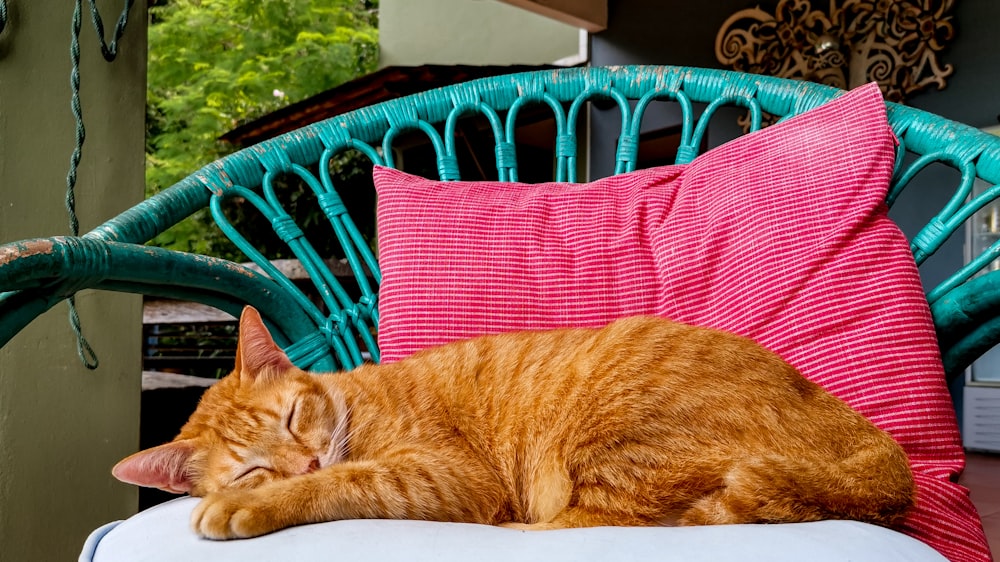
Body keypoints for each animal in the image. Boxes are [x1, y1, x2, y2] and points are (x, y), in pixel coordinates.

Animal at [115, 306, 916, 540]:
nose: (305, 460)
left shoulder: (445, 477)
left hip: (604, 433)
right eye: (252, 461)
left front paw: (259, 505)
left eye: (291, 416)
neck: (353, 405)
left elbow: (353, 482)